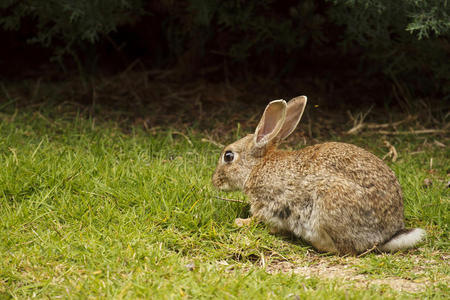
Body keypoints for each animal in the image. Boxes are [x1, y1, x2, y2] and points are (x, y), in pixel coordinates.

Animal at [214, 96, 426, 255]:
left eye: (228, 156)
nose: (215, 180)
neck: (255, 167)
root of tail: (386, 235)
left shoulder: (269, 203)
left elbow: (261, 219)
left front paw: (240, 222)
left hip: (328, 206)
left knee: (344, 250)